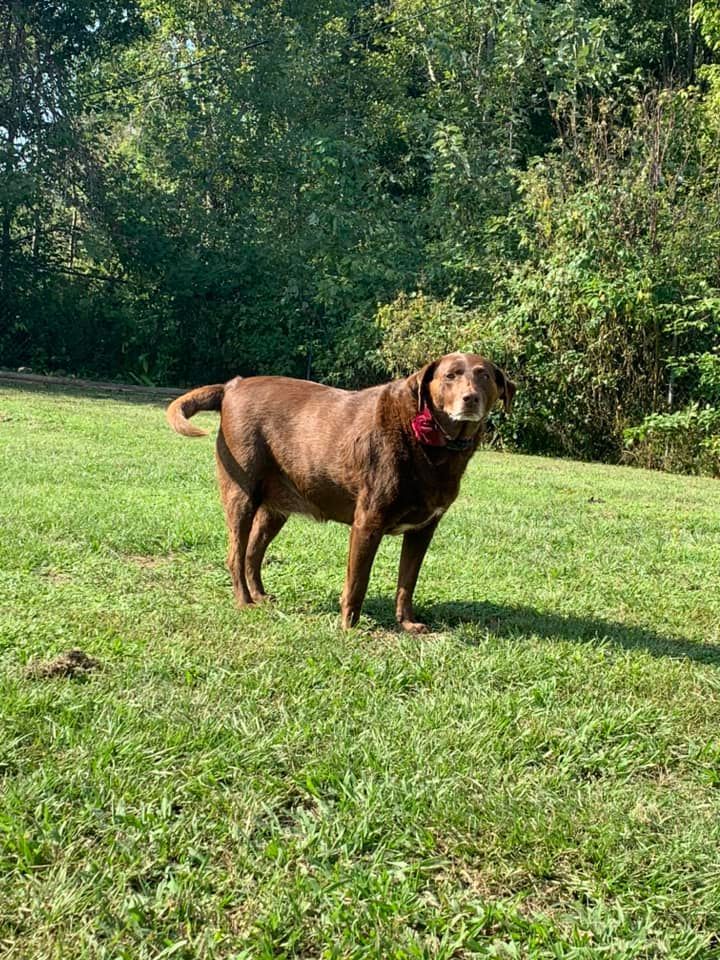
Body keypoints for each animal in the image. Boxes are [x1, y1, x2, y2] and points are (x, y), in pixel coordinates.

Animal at [166, 352, 516, 632]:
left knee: (253, 553)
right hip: (241, 496)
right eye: (450, 375)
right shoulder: (368, 522)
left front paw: (407, 623)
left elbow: (407, 581)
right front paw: (349, 626)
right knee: (235, 555)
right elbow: (358, 581)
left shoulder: (423, 530)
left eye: (484, 375)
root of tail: (232, 386)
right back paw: (245, 602)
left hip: (274, 510)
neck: (429, 439)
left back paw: (261, 596)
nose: (470, 398)